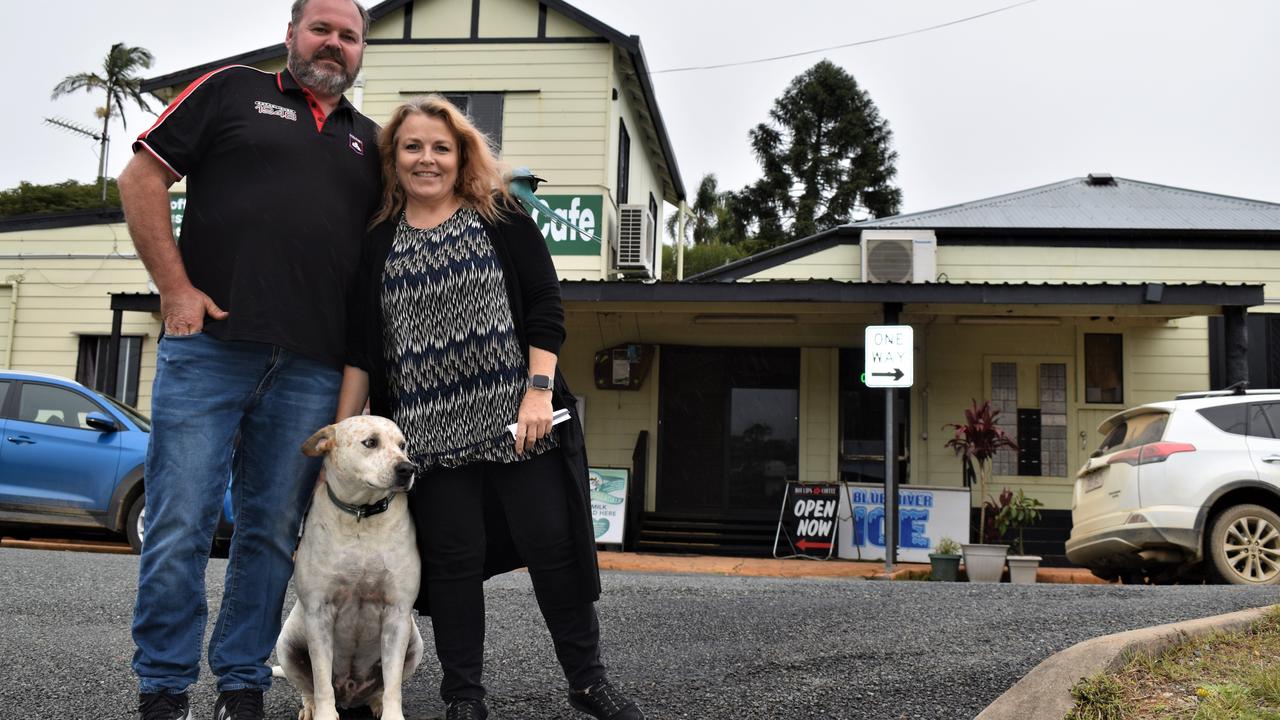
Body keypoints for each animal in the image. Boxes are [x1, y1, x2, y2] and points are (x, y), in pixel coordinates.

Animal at [276, 415, 424, 717]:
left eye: (402, 445)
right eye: (370, 442)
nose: (407, 468)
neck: (362, 517)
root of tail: (350, 694)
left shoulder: (397, 614)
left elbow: (393, 685)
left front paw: (392, 715)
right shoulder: (319, 613)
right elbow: (321, 682)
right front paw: (324, 715)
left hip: (416, 643)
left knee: (381, 687)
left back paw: (377, 703)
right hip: (286, 645)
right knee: (309, 687)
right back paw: (310, 708)